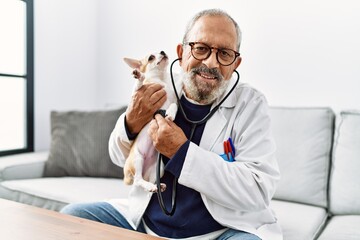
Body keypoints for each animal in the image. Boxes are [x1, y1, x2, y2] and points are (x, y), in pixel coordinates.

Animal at [122, 51, 177, 193]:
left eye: (161, 51)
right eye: (151, 57)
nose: (163, 51)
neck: (161, 79)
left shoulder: (174, 100)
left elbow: (174, 105)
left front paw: (171, 114)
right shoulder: (138, 92)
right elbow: (139, 86)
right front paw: (139, 76)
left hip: (158, 168)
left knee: (148, 180)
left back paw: (157, 186)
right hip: (138, 158)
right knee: (138, 180)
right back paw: (150, 186)